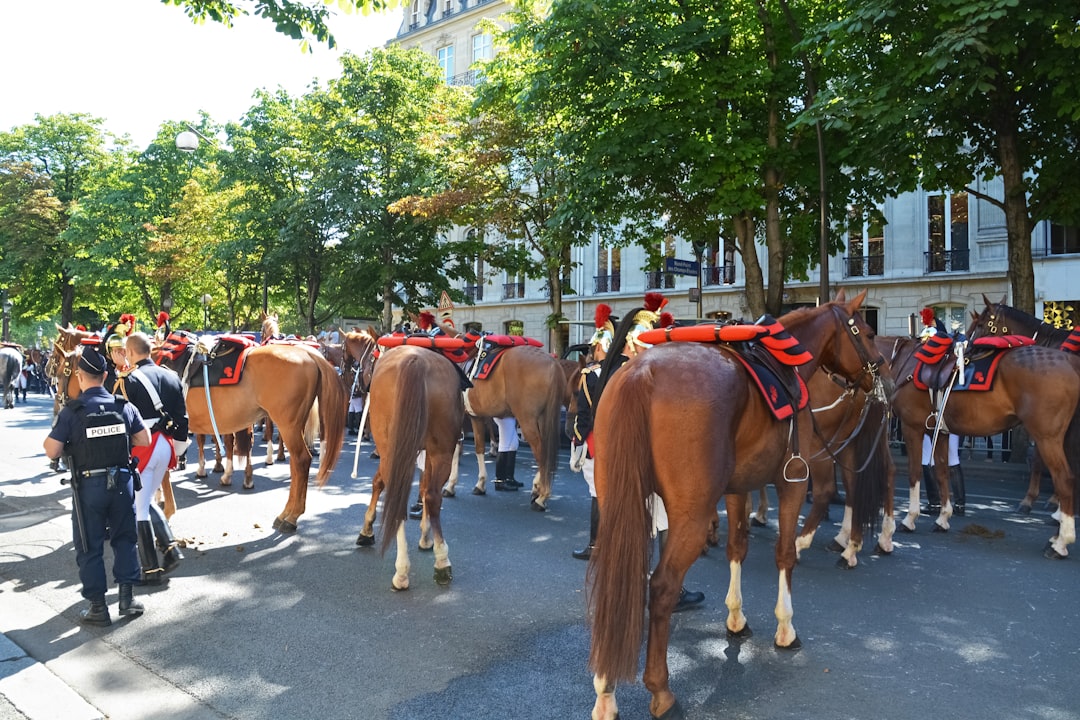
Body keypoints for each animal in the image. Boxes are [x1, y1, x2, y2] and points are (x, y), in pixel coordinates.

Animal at [156, 330, 345, 533]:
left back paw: (292, 517)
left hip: (288, 425)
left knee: (301, 460)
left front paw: (165, 507)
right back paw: (285, 513)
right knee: (295, 464)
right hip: (295, 426)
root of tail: (308, 353)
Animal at [349, 345, 460, 591]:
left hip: (392, 448)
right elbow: (425, 488)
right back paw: (442, 563)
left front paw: (366, 530)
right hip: (441, 451)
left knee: (396, 496)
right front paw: (426, 538)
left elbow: (378, 482)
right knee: (432, 495)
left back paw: (402, 571)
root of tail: (415, 360)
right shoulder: (425, 452)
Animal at [591, 291, 885, 720]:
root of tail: (640, 373)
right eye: (866, 332)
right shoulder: (790, 483)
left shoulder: (736, 489)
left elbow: (737, 548)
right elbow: (785, 555)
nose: (880, 373)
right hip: (692, 517)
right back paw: (661, 692)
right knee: (661, 587)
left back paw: (605, 692)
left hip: (618, 504)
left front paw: (735, 617)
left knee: (614, 584)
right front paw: (785, 628)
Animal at [881, 334, 1080, 548]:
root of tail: (1070, 360)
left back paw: (1061, 542)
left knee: (1064, 478)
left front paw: (909, 519)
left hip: (1047, 438)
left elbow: (915, 472)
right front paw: (943, 518)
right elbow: (942, 472)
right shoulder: (940, 433)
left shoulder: (912, 429)